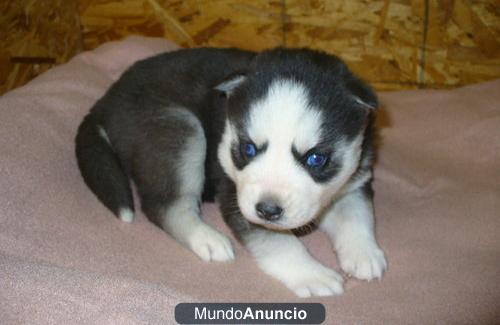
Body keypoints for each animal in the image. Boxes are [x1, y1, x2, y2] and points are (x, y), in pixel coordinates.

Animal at [75, 47, 386, 296]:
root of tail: (107, 98)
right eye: (248, 148)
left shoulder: (355, 178)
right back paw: (207, 238)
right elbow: (279, 243)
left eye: (316, 159)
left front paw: (363, 252)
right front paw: (310, 273)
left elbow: (356, 215)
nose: (268, 210)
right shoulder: (234, 194)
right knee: (164, 207)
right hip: (180, 126)